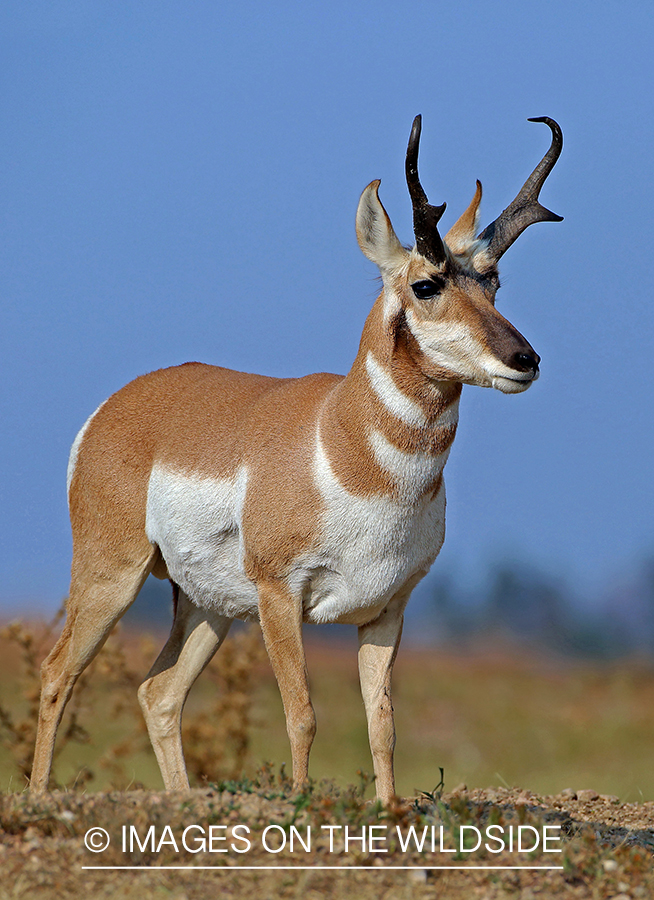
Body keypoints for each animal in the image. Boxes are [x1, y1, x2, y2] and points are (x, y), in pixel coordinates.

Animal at [30, 114, 564, 800]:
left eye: (494, 281)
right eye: (426, 284)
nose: (525, 360)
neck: (344, 445)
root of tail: (122, 400)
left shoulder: (387, 609)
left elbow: (382, 724)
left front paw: (388, 809)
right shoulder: (280, 595)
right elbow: (302, 714)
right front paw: (301, 801)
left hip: (207, 607)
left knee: (158, 693)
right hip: (113, 576)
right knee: (56, 674)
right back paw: (39, 796)